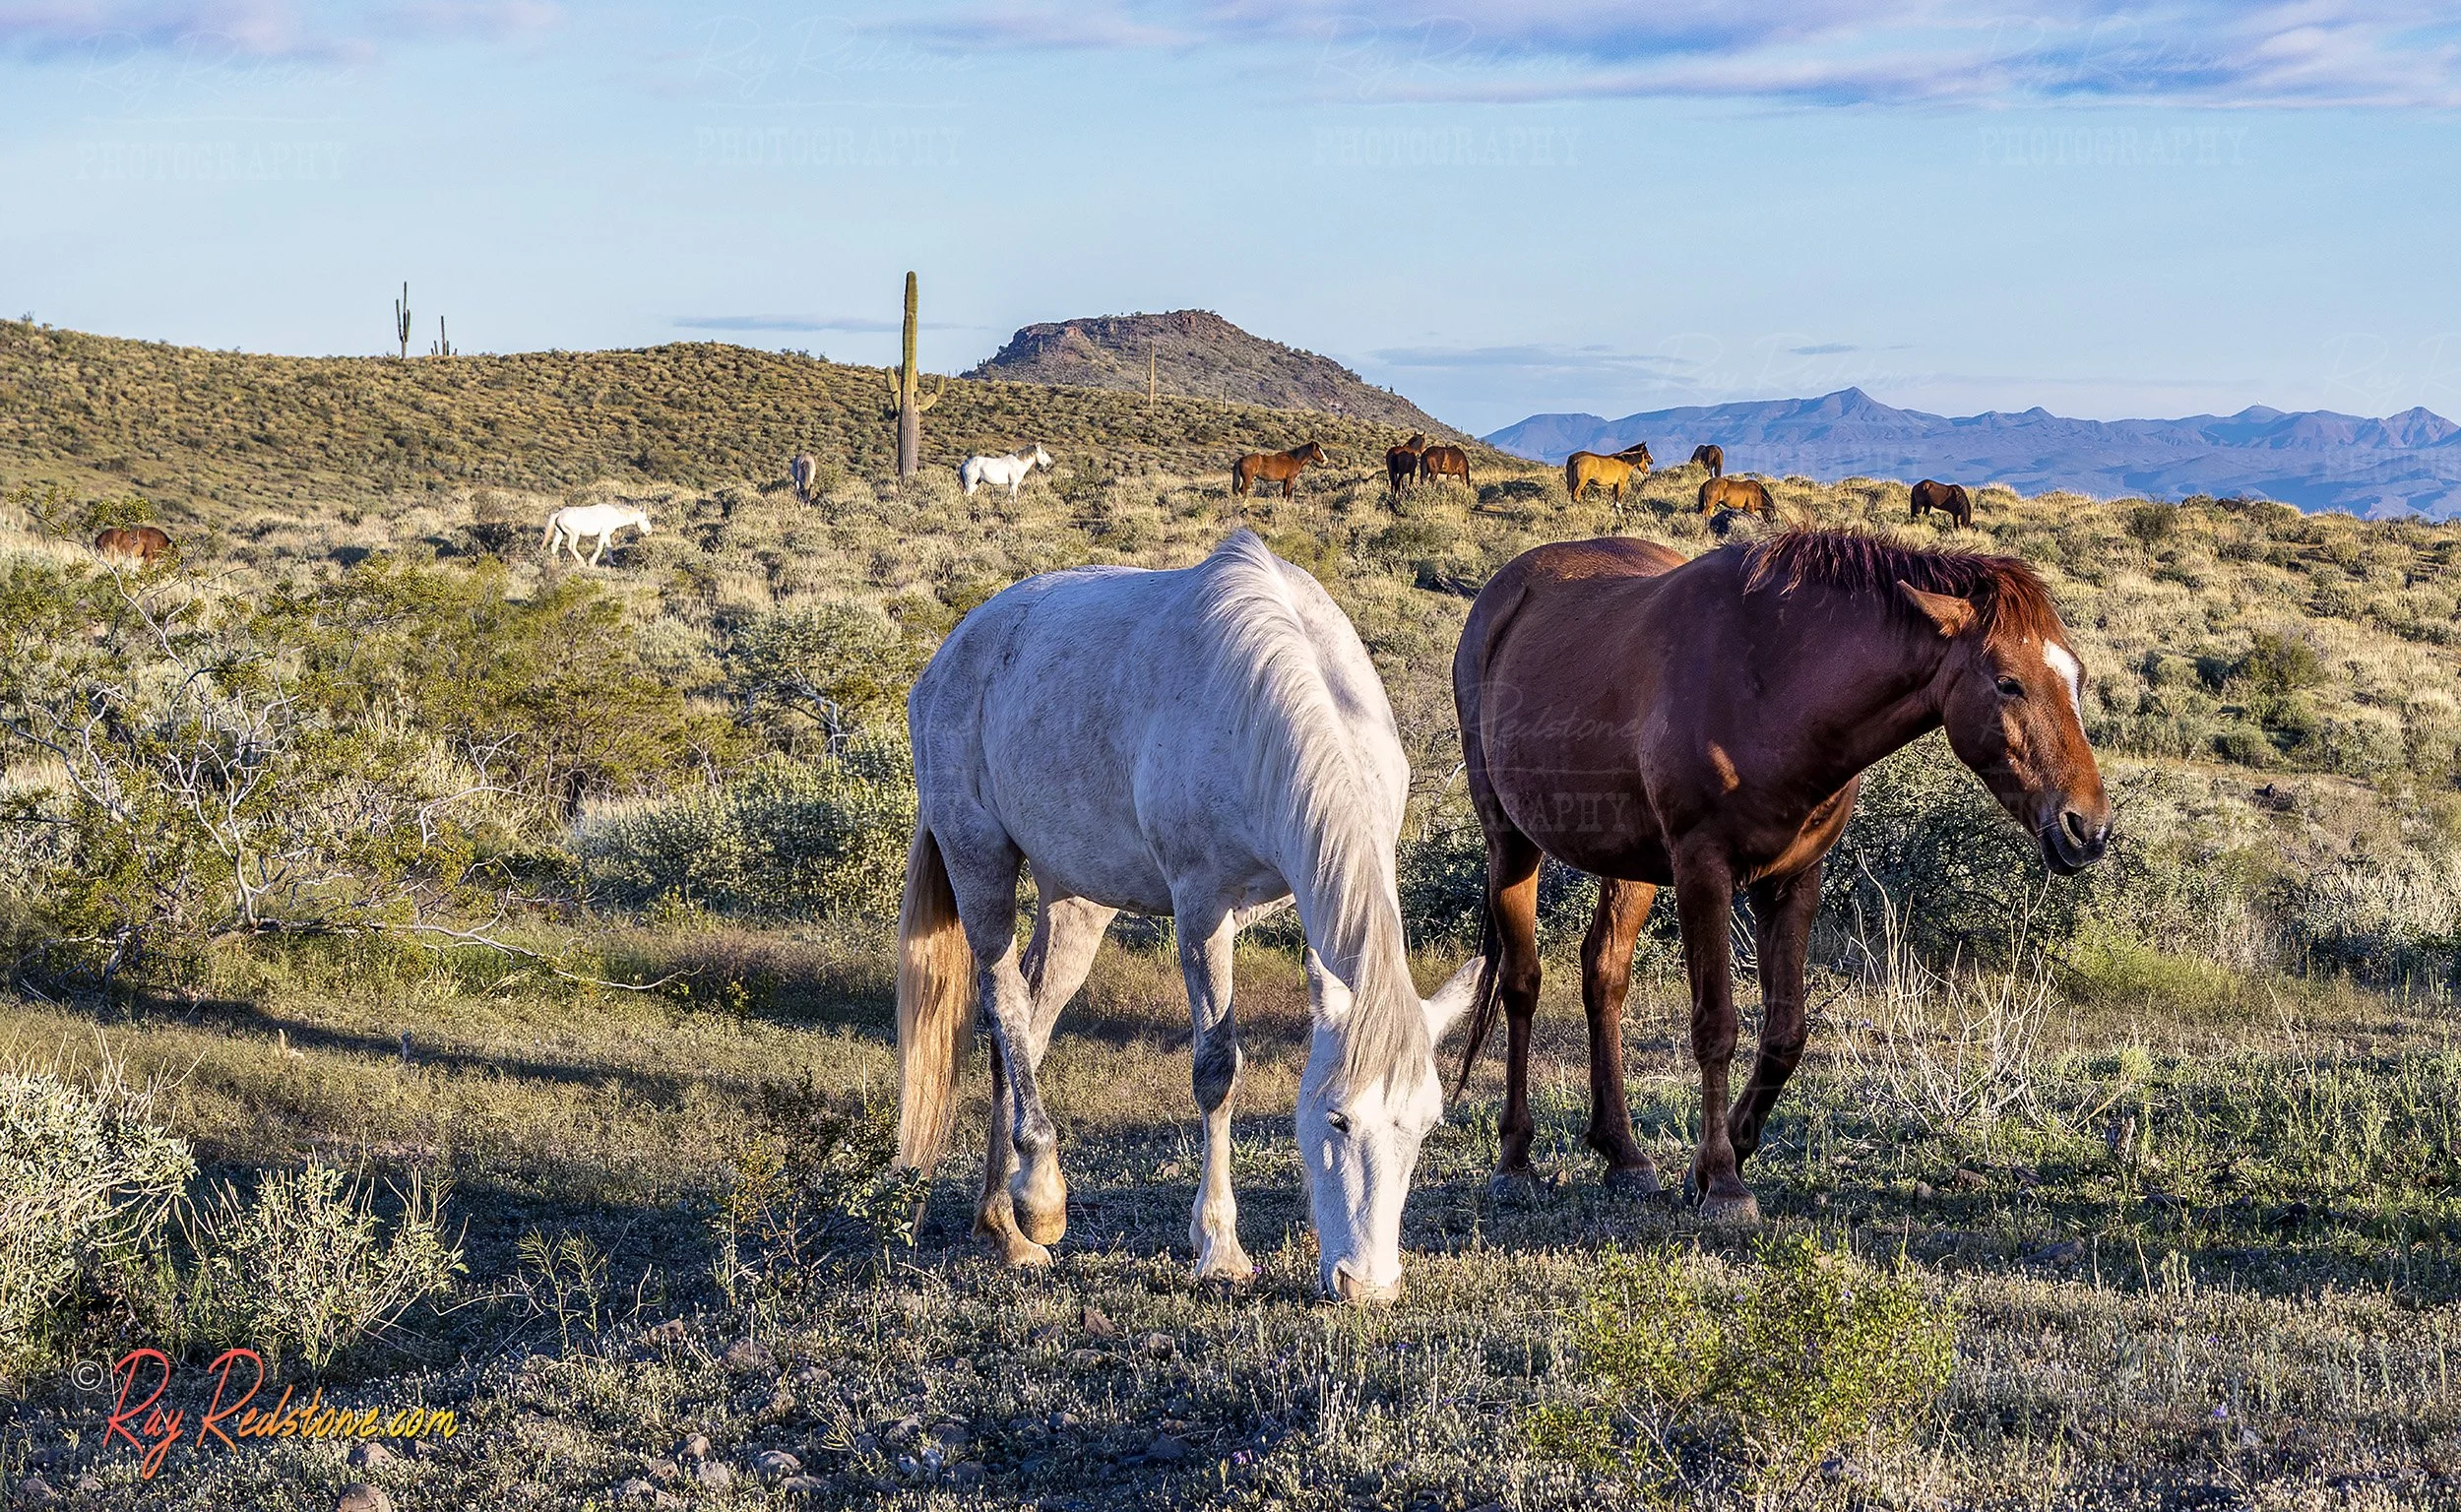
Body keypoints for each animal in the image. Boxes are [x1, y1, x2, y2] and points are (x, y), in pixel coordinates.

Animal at [897, 530, 1482, 1301]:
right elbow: (1216, 1070)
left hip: (1076, 897)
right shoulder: (1203, 906)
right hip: (979, 859)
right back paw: (1039, 1200)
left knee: (1023, 1024)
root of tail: (951, 654)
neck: (1261, 706)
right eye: (1337, 1119)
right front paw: (1220, 1249)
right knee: (1003, 1000)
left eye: (1425, 1124)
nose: (1368, 1286)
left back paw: (1003, 1225)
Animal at [1451, 530, 2109, 1221]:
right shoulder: (1703, 871)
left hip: (1630, 867)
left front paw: (1723, 1157)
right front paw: (1724, 1182)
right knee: (1521, 984)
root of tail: (1503, 593)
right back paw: (1515, 1159)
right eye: (2008, 683)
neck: (1770, 685)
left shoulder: (1793, 881)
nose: (2087, 826)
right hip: (1510, 839)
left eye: (2077, 677)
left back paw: (1624, 1155)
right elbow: (1717, 1028)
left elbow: (1785, 1034)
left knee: (1603, 976)